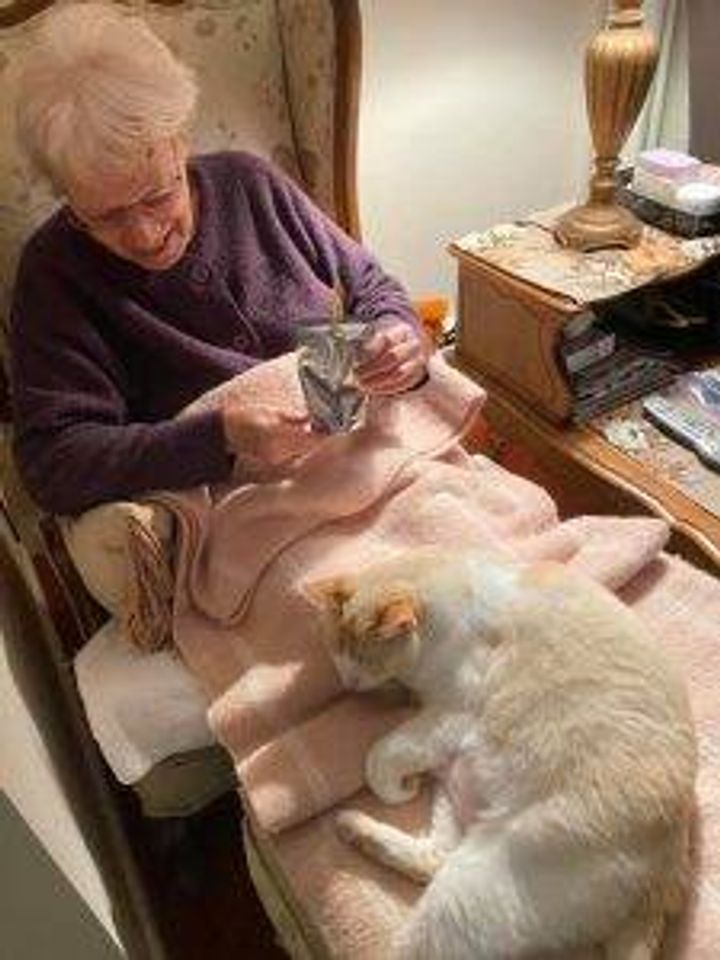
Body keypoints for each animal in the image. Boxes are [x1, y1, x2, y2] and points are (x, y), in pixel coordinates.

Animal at [308, 548, 696, 960]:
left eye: (366, 659)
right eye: (337, 650)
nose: (348, 683)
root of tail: (667, 881)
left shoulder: (451, 711)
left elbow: (380, 755)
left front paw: (398, 788)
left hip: (469, 887)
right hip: (454, 796)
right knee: (435, 855)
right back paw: (351, 826)